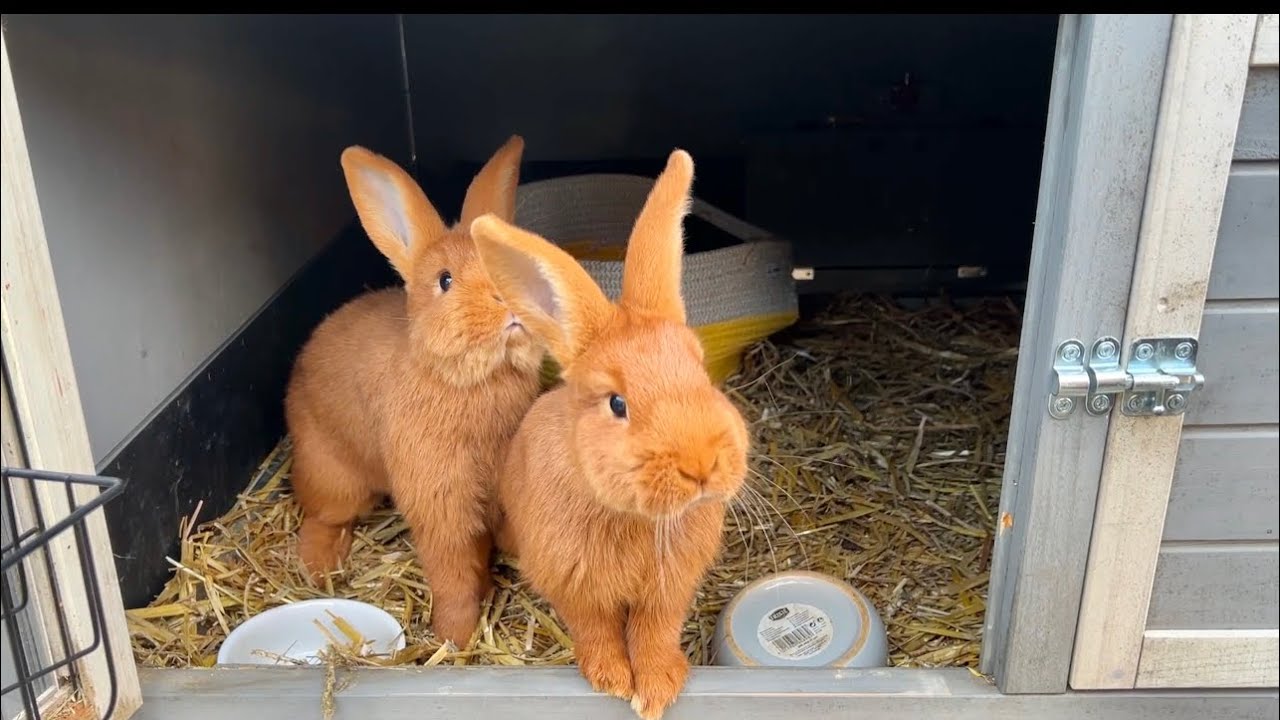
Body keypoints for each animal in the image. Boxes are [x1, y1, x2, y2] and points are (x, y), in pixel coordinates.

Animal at [283, 135, 546, 647]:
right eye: (445, 280)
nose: (507, 300)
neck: (470, 377)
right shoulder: (440, 502)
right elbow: (452, 571)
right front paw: (456, 636)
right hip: (335, 475)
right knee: (324, 514)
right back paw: (318, 565)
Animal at [469, 149, 751, 720]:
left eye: (700, 368)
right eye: (617, 404)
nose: (702, 464)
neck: (635, 517)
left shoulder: (667, 590)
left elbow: (654, 631)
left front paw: (659, 686)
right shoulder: (573, 584)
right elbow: (595, 629)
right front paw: (614, 681)